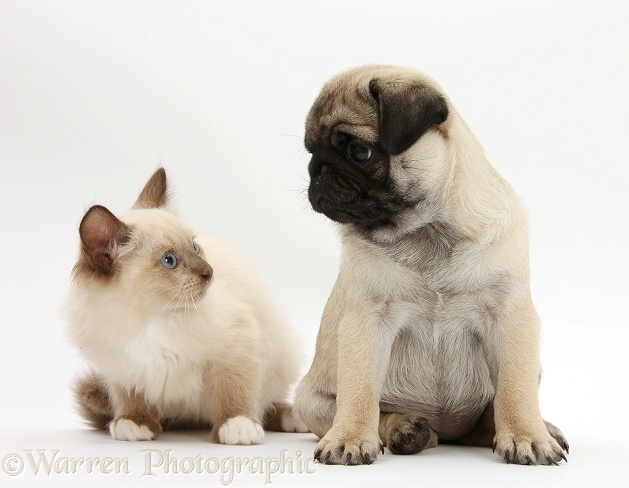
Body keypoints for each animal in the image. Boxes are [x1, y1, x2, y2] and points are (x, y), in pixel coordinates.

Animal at [294, 65, 568, 466]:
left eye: (360, 152)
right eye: (311, 151)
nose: (319, 171)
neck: (425, 230)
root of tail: (448, 430)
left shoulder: (510, 314)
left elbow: (514, 390)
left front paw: (527, 436)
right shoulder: (367, 319)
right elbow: (360, 392)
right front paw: (349, 438)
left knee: (491, 414)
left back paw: (539, 427)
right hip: (310, 402)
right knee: (378, 413)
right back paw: (407, 428)